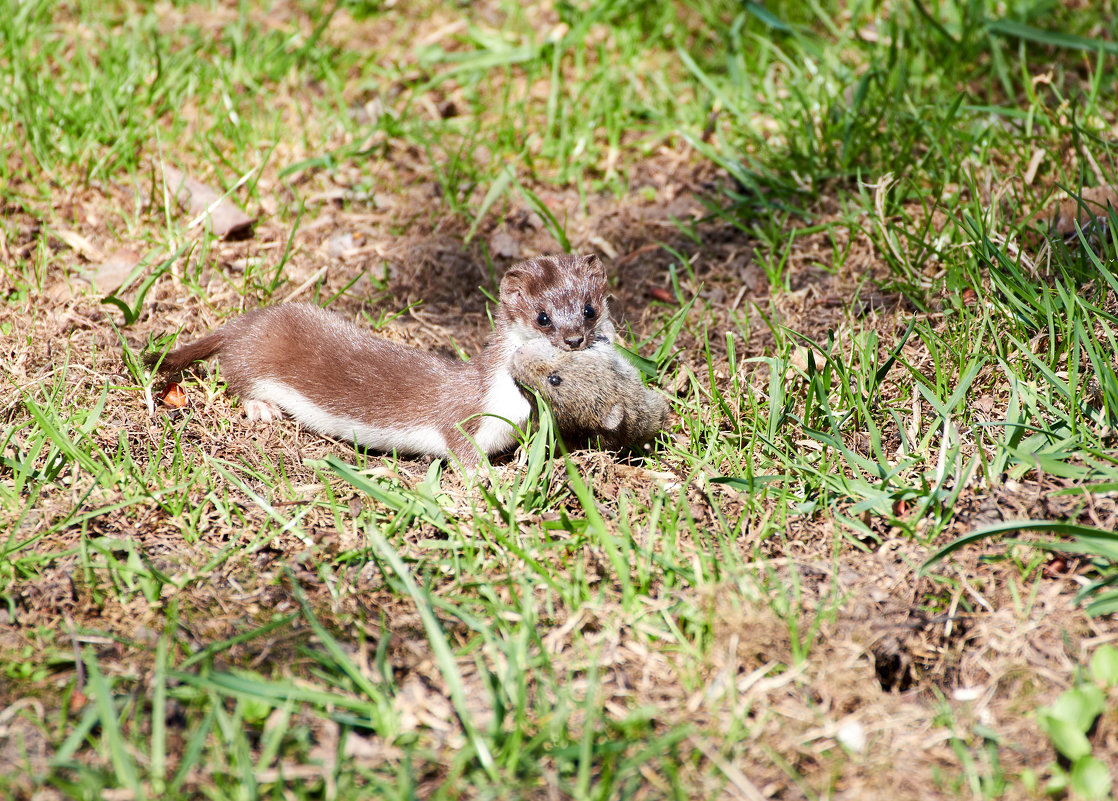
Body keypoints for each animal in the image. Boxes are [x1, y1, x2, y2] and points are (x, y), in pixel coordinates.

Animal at [149, 253, 617, 465]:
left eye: (590, 309)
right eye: (543, 317)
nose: (574, 339)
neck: (511, 403)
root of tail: (248, 319)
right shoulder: (462, 417)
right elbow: (462, 450)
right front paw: (493, 480)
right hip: (253, 356)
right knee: (236, 375)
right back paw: (262, 407)